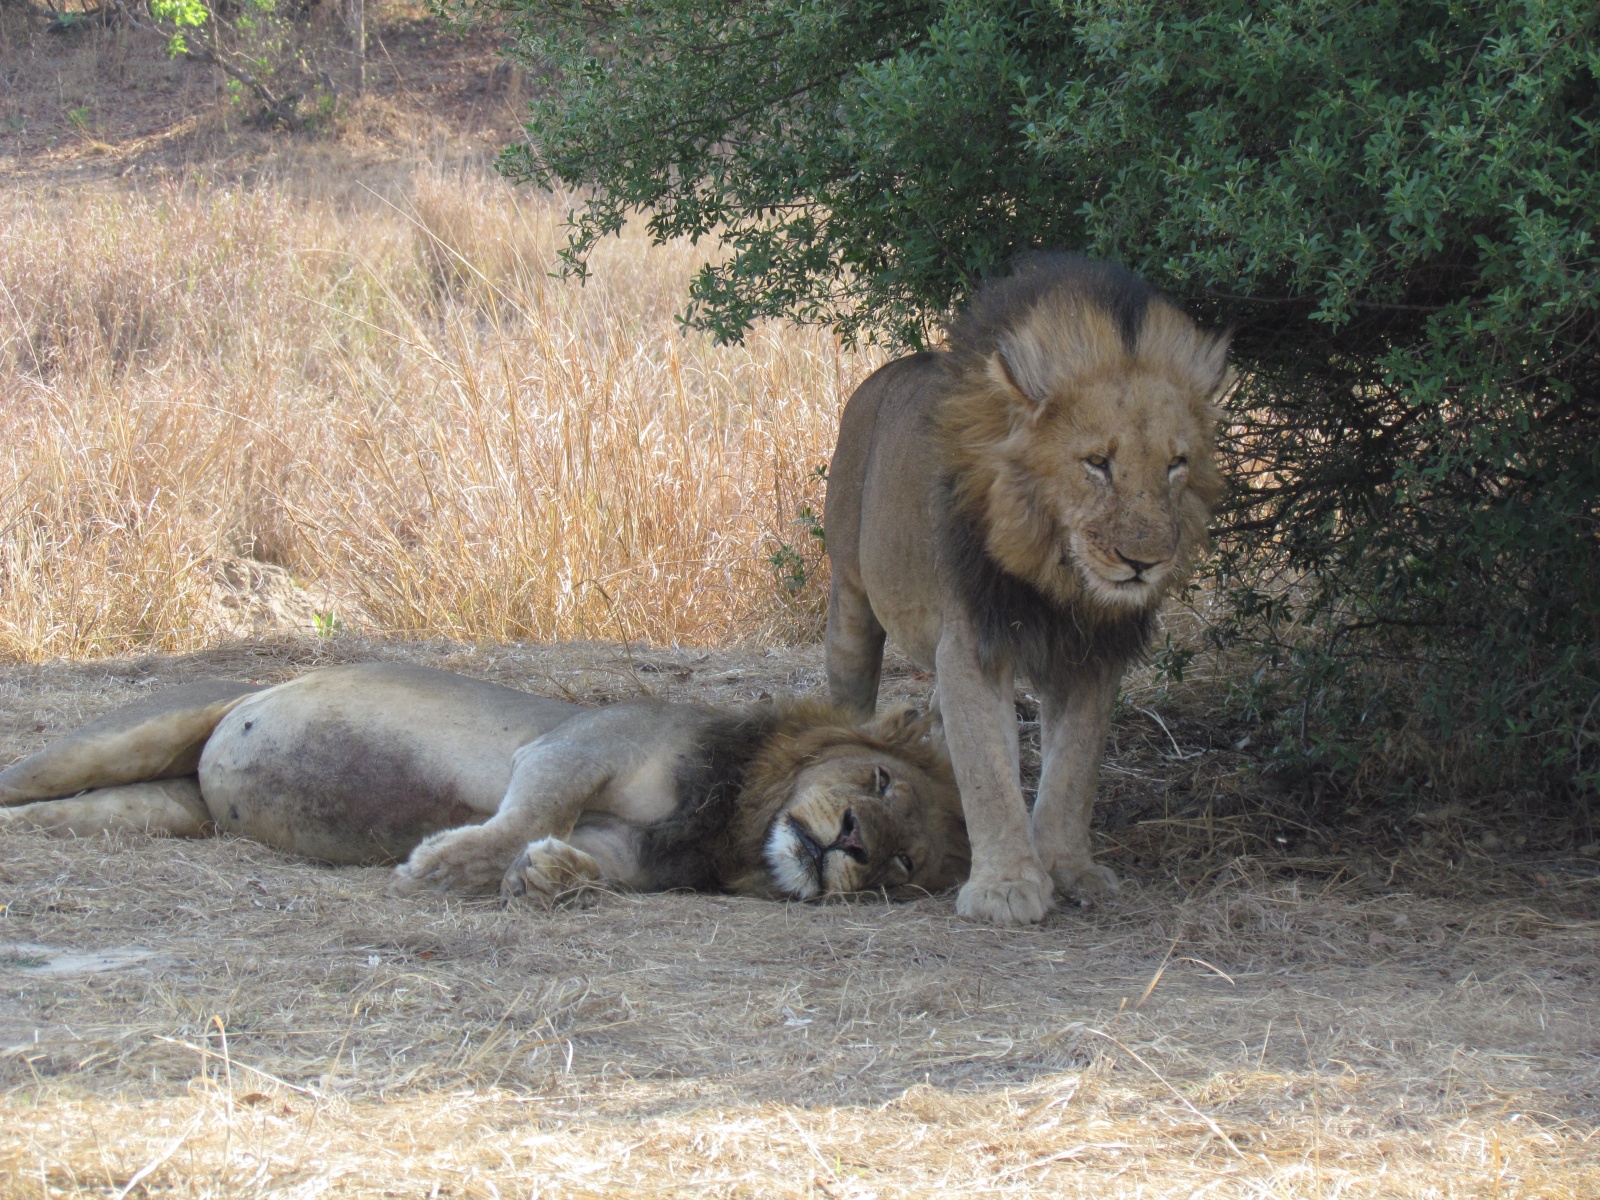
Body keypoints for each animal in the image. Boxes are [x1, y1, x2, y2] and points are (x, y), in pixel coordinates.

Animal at [824, 255, 1230, 926]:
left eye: (1176, 463)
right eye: (1097, 462)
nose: (1143, 562)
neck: (1058, 579)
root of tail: (879, 377)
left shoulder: (1092, 657)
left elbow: (1073, 771)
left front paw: (1069, 868)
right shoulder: (972, 645)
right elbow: (990, 769)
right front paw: (1007, 886)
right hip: (851, 595)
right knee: (849, 692)